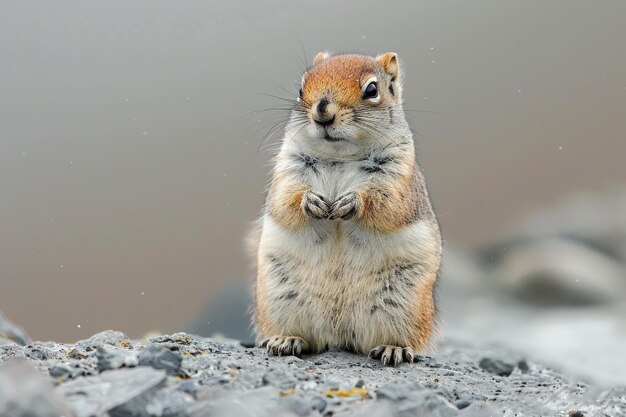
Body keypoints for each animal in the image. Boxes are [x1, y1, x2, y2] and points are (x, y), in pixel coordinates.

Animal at [251, 51, 442, 364]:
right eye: (301, 87)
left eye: (372, 90)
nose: (322, 112)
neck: (339, 156)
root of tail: (338, 333)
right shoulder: (287, 172)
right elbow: (284, 202)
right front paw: (311, 202)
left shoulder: (399, 182)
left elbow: (387, 206)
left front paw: (352, 202)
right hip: (280, 299)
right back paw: (286, 340)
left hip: (403, 305)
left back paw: (393, 349)